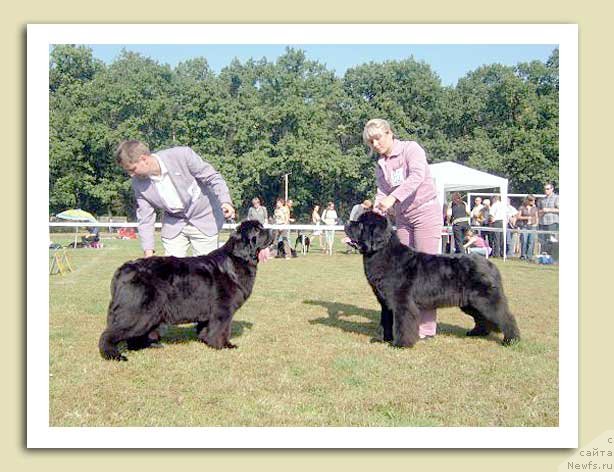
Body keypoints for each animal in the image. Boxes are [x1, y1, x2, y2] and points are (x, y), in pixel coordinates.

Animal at [99, 219, 274, 360]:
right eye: (257, 230)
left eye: (262, 227)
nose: (274, 231)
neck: (237, 260)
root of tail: (122, 269)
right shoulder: (223, 310)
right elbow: (222, 329)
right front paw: (223, 345)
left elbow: (208, 328)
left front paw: (206, 341)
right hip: (137, 311)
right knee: (109, 333)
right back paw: (113, 355)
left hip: (149, 313)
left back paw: (148, 346)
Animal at [344, 212, 524, 348]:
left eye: (361, 224)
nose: (346, 222)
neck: (383, 254)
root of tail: (491, 265)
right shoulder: (386, 302)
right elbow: (385, 321)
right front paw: (381, 339)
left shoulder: (402, 302)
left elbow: (402, 323)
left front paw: (400, 344)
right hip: (470, 303)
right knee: (482, 317)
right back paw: (477, 333)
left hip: (484, 300)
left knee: (505, 317)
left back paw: (512, 340)